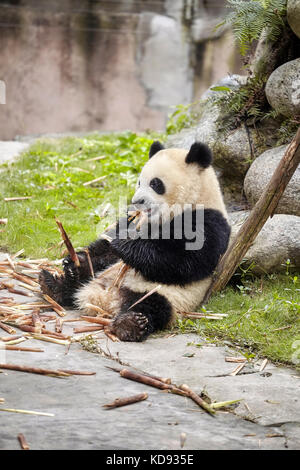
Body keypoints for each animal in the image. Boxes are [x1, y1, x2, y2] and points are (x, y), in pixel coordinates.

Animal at [39, 140, 230, 342]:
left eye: (155, 183)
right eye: (139, 182)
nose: (137, 201)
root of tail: (104, 300)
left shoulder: (208, 221)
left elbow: (183, 260)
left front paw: (125, 244)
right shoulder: (133, 219)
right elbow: (107, 247)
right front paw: (79, 259)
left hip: (167, 295)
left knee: (152, 305)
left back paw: (130, 324)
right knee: (80, 280)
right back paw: (56, 282)